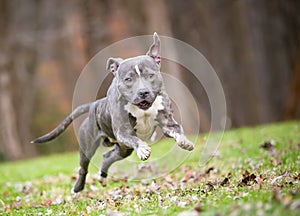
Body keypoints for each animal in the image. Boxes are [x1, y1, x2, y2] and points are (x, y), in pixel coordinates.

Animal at [31, 32, 193, 192]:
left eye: (150, 75)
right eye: (128, 79)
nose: (143, 92)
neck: (143, 108)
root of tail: (94, 105)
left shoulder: (167, 123)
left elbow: (178, 130)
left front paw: (185, 142)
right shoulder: (123, 132)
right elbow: (135, 139)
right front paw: (142, 149)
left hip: (123, 149)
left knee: (108, 156)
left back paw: (102, 177)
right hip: (88, 147)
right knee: (83, 168)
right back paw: (77, 188)